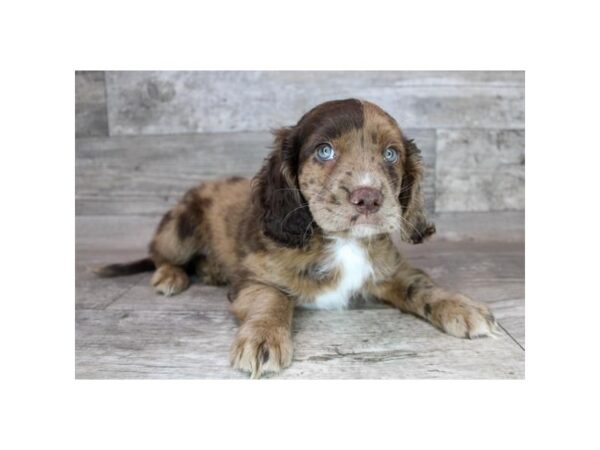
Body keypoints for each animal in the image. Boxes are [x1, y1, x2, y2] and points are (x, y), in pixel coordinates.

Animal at [97, 100, 496, 378]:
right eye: (324, 151)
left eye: (390, 154)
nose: (368, 198)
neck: (342, 241)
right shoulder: (255, 277)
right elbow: (271, 299)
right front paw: (262, 338)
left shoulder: (391, 269)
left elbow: (422, 285)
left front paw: (462, 306)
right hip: (179, 228)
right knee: (161, 254)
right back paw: (170, 276)